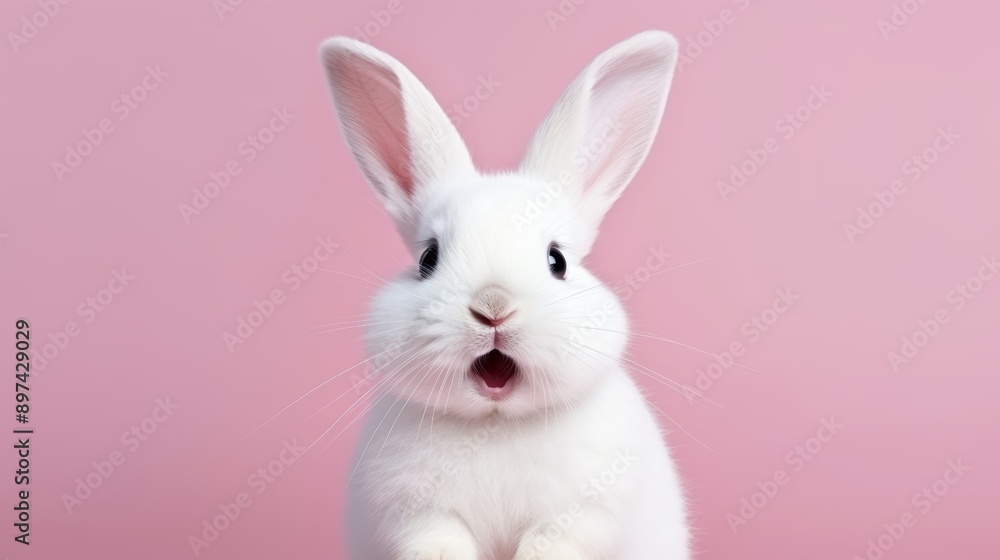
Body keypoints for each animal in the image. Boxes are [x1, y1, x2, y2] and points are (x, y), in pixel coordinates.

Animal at [319, 30, 688, 560]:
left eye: (557, 261)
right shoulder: (417, 515)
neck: (495, 427)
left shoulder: (578, 516)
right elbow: (438, 544)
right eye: (428, 258)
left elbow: (550, 544)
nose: (493, 308)